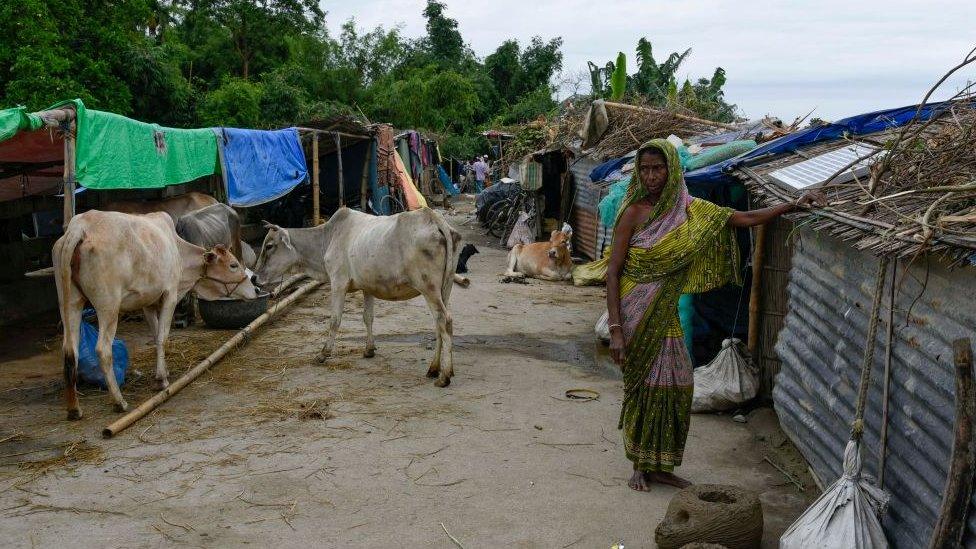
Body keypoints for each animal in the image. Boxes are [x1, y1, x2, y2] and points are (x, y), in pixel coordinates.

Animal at [54, 208, 255, 418]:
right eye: (233, 265)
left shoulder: (148, 303)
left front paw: (163, 372)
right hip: (108, 307)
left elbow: (155, 333)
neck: (178, 250)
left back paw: (74, 409)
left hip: (70, 303)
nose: (255, 289)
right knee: (103, 349)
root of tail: (80, 227)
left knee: (70, 351)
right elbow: (162, 337)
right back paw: (119, 402)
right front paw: (161, 380)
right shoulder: (170, 295)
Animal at [252, 206, 466, 386]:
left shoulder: (338, 283)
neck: (327, 239)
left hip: (428, 288)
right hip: (444, 288)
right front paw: (369, 350)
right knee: (439, 324)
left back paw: (444, 376)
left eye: (269, 246)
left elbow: (335, 320)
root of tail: (433, 217)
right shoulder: (368, 287)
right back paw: (434, 369)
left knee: (444, 320)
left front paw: (323, 353)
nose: (254, 278)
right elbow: (367, 317)